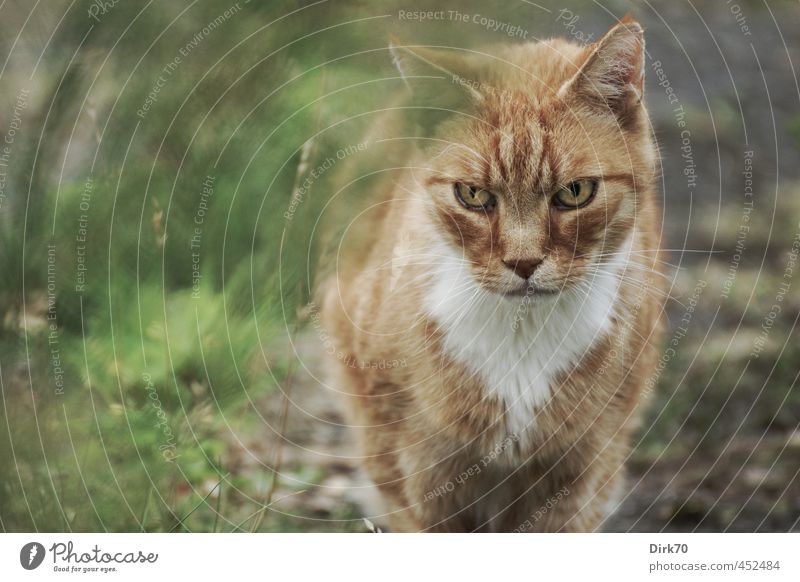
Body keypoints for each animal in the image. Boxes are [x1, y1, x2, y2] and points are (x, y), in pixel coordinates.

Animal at [322, 18, 664, 532]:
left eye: (575, 192)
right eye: (473, 195)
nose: (523, 262)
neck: (520, 336)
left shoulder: (583, 466)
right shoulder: (415, 466)